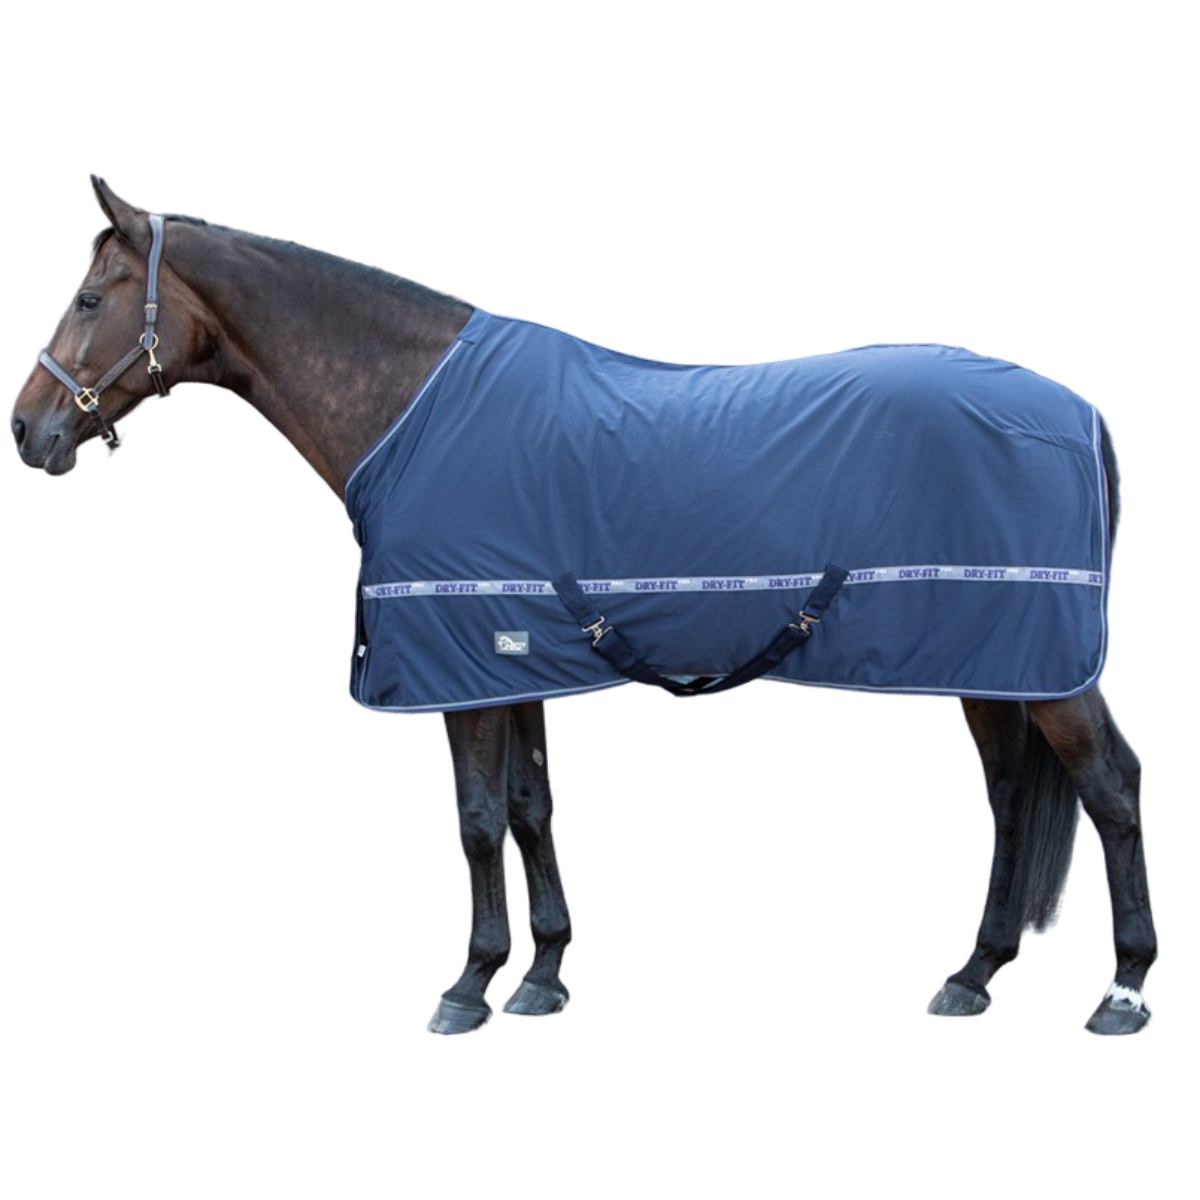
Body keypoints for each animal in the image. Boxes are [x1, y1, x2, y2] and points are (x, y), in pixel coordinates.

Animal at [10, 177, 1157, 1035]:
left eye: (89, 299)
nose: (27, 430)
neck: (415, 410)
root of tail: (1080, 414)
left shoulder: (461, 669)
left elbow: (476, 823)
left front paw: (468, 985)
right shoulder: (510, 656)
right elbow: (531, 809)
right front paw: (544, 974)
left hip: (1045, 669)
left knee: (1109, 787)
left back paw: (1124, 989)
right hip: (991, 665)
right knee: (1011, 798)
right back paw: (974, 974)